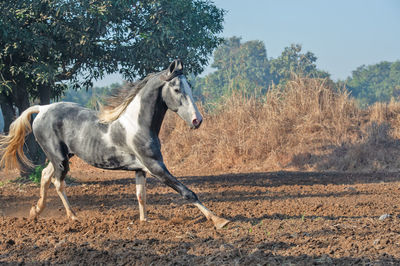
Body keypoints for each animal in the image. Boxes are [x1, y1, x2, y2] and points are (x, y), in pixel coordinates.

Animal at [0, 59, 231, 229]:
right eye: (176, 89)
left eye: (189, 86)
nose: (197, 120)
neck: (137, 124)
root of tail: (42, 109)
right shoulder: (156, 166)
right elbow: (187, 192)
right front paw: (219, 220)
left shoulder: (141, 169)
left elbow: (141, 196)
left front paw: (144, 221)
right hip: (60, 159)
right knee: (58, 182)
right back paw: (73, 217)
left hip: (60, 157)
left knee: (45, 175)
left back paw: (35, 212)